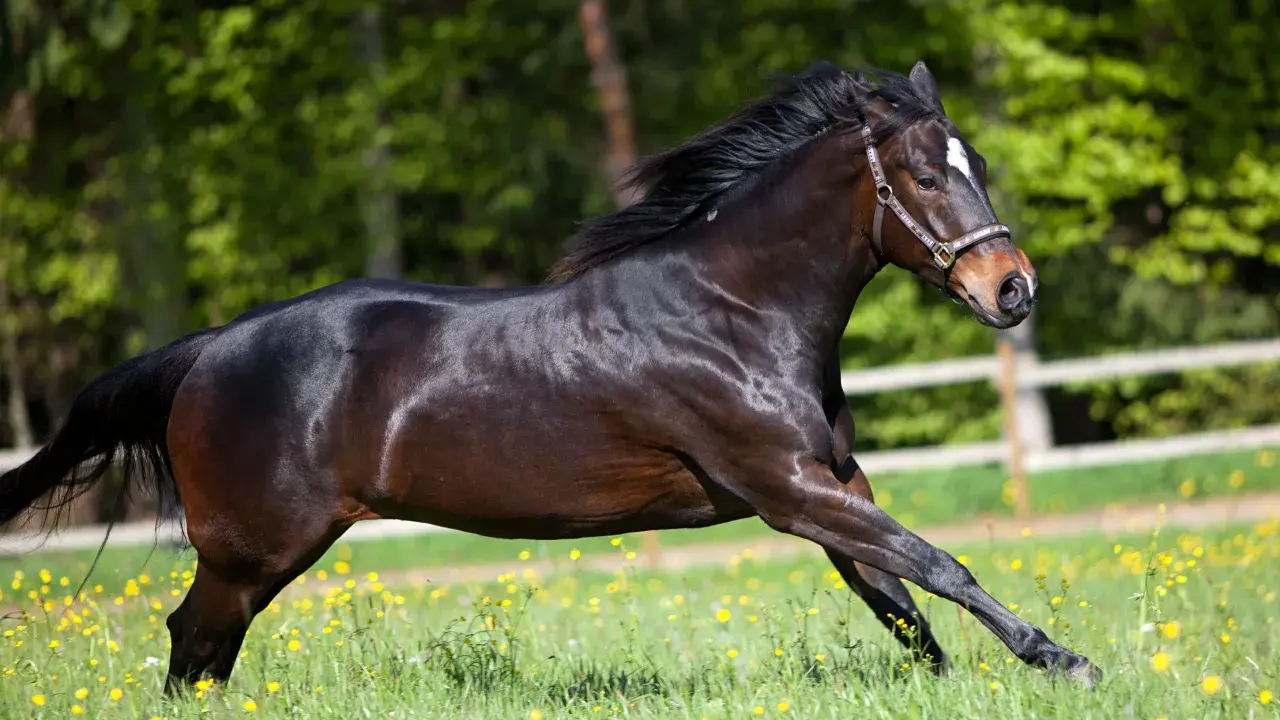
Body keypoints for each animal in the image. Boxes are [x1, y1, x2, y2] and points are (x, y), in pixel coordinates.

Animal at [0, 60, 1100, 692]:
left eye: (974, 162)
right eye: (924, 174)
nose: (1012, 290)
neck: (734, 313)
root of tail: (206, 349)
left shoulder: (829, 481)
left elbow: (895, 594)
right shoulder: (785, 489)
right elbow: (936, 565)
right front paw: (1064, 661)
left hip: (256, 557)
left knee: (203, 654)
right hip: (251, 550)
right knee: (192, 641)